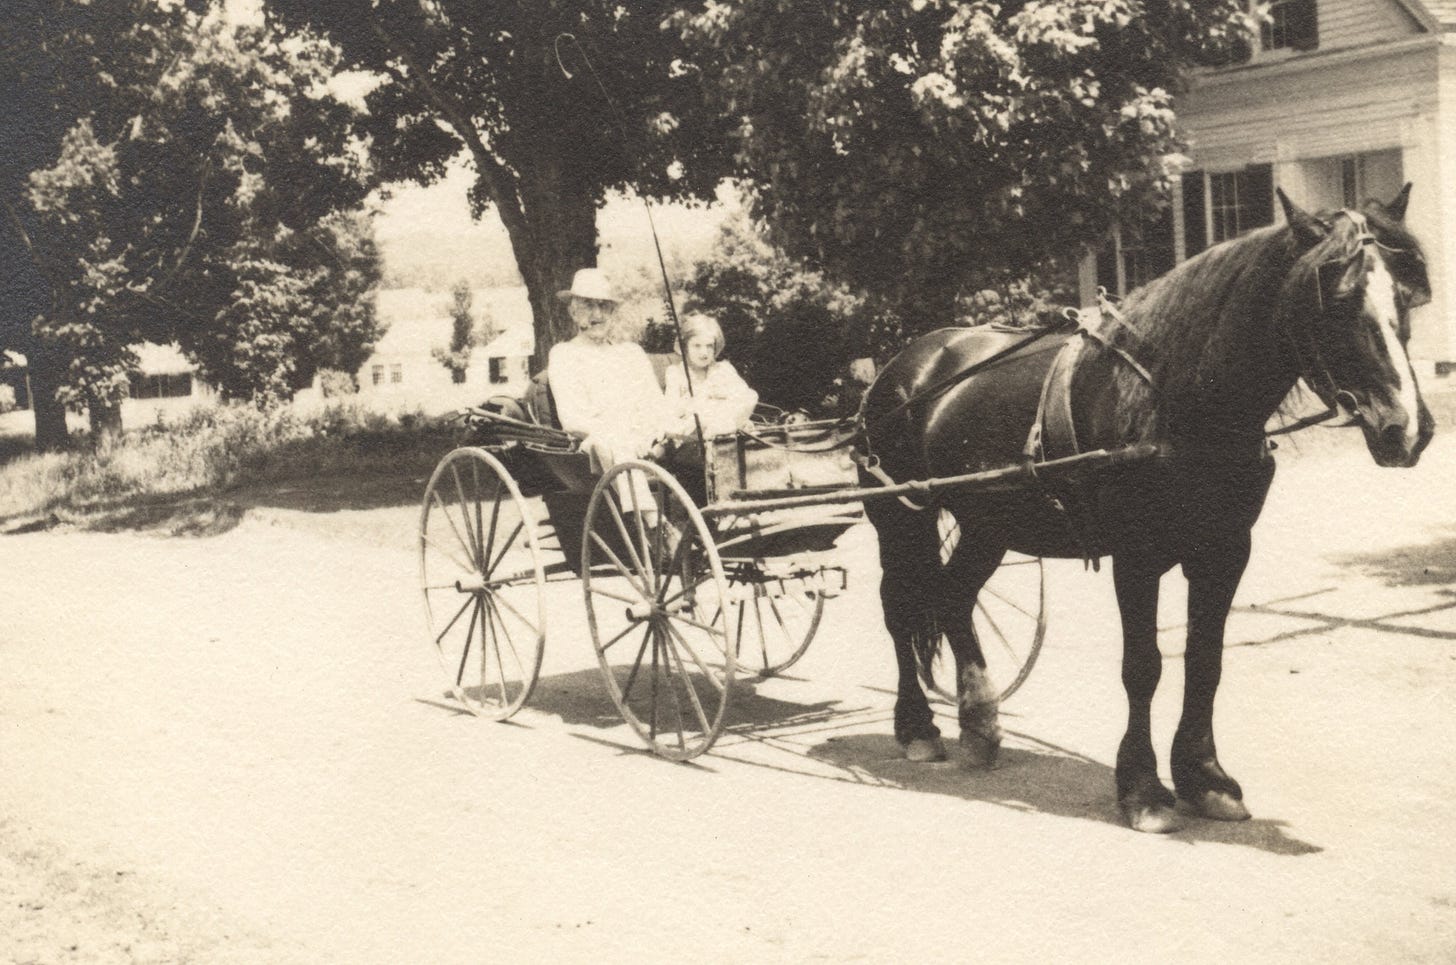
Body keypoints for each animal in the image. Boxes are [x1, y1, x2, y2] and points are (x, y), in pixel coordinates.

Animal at [850, 186, 1432, 832]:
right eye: (1338, 299)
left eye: (1406, 297)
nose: (1407, 428)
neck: (1178, 400)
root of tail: (906, 365)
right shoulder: (1137, 554)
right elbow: (1144, 666)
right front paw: (1144, 789)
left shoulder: (1224, 550)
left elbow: (1205, 661)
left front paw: (1205, 778)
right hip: (901, 517)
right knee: (900, 607)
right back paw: (918, 728)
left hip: (988, 524)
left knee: (953, 595)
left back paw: (979, 725)